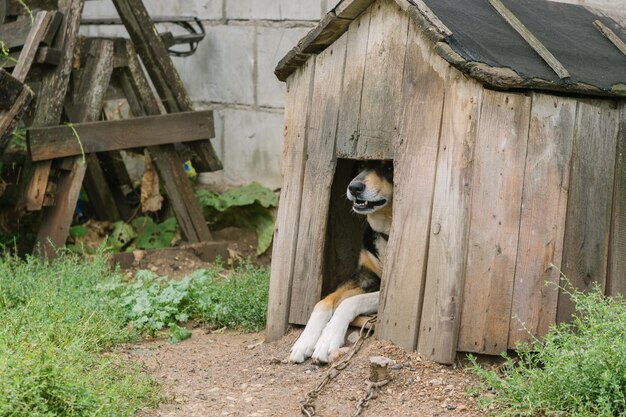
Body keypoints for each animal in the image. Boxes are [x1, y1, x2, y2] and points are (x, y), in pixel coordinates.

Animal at [288, 159, 390, 360]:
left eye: (389, 166)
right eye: (361, 165)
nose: (354, 187)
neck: (385, 233)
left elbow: (349, 303)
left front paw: (328, 338)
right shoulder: (364, 276)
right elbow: (323, 301)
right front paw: (305, 341)